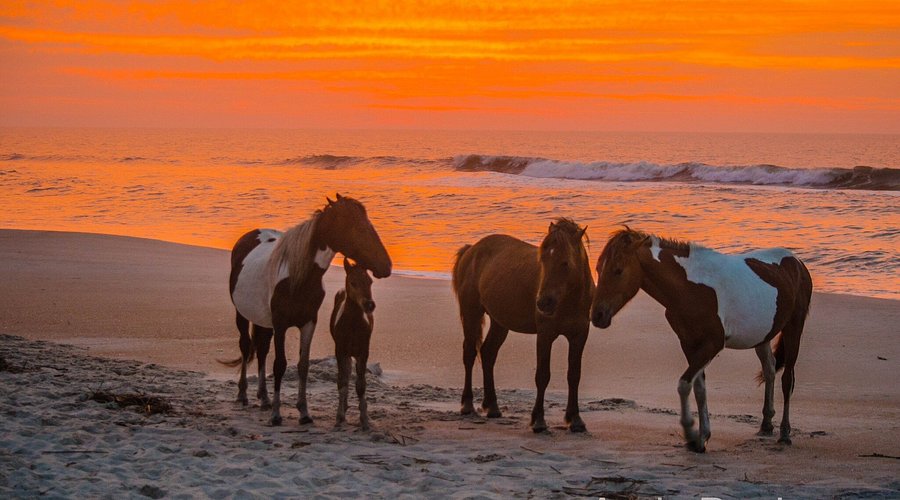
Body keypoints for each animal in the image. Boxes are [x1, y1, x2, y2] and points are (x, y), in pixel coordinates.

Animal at [330, 258, 376, 430]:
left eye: (370, 281)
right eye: (353, 282)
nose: (369, 305)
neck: (353, 324)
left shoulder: (363, 352)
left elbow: (361, 385)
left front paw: (364, 419)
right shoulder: (340, 351)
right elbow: (342, 381)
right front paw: (339, 417)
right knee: (345, 374)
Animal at [452, 218, 594, 433]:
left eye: (565, 263)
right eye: (542, 260)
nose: (543, 303)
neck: (569, 300)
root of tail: (471, 249)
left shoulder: (579, 335)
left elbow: (574, 375)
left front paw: (575, 419)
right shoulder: (545, 334)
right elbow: (542, 375)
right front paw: (538, 420)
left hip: (499, 323)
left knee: (488, 353)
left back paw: (492, 406)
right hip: (471, 314)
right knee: (469, 353)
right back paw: (467, 405)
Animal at [591, 228, 812, 452]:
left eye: (618, 270)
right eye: (598, 268)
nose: (597, 315)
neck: (690, 288)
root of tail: (796, 261)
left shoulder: (712, 344)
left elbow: (684, 384)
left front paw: (691, 432)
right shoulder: (689, 344)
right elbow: (698, 388)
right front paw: (702, 436)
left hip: (794, 326)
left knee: (787, 379)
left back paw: (784, 433)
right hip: (762, 336)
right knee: (769, 369)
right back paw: (766, 424)